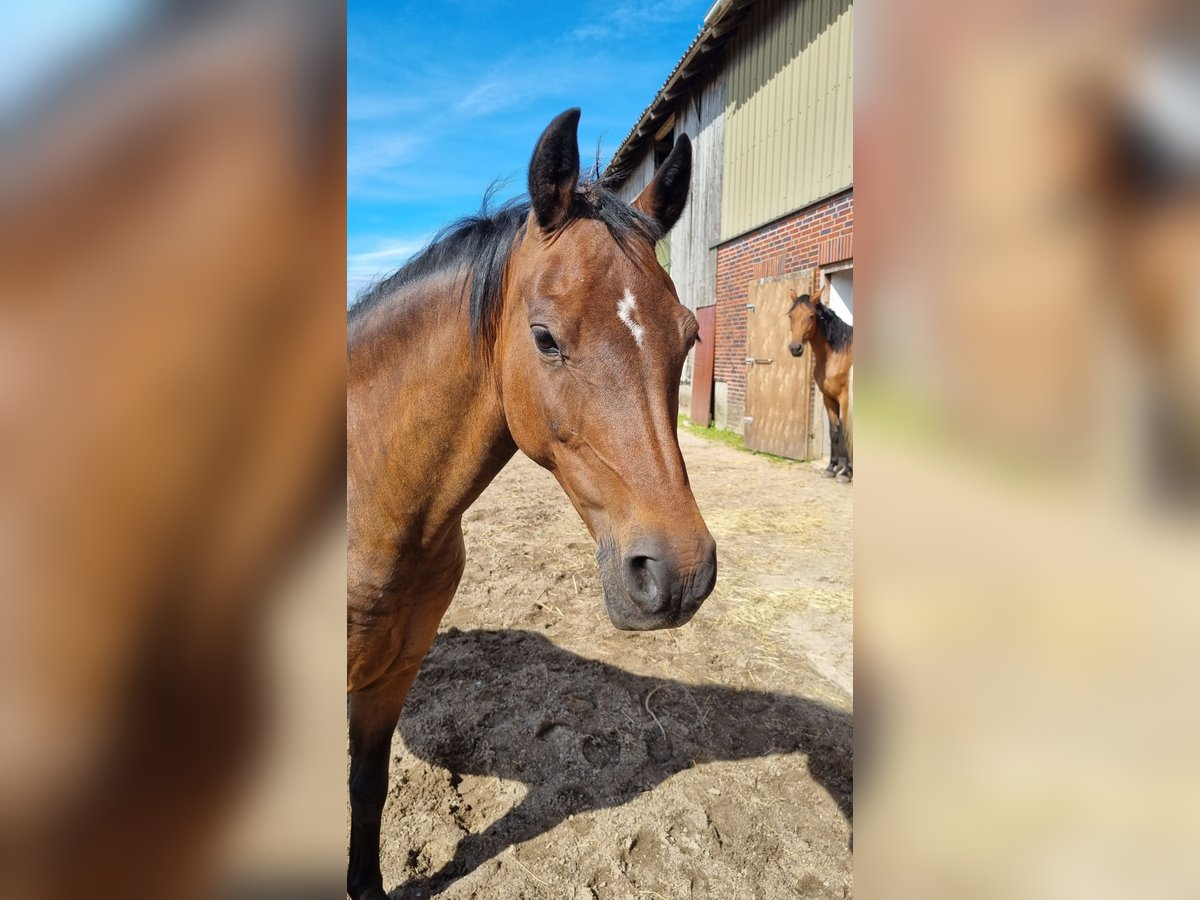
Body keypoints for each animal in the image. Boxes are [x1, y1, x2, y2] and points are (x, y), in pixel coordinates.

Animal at [787, 289, 854, 487]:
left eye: (811, 316)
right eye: (791, 315)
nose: (795, 348)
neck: (837, 354)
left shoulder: (845, 399)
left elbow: (847, 431)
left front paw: (846, 473)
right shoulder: (829, 398)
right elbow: (835, 432)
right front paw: (831, 468)